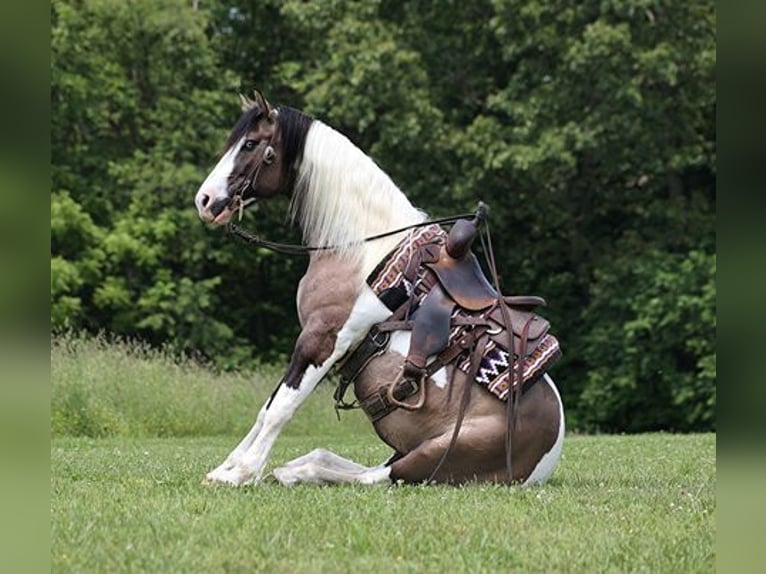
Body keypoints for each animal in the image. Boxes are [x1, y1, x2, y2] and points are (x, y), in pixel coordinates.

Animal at [194, 92, 564, 488]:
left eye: (250, 144)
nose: (205, 200)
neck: (359, 249)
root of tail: (548, 456)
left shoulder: (323, 337)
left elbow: (281, 407)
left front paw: (240, 473)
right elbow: (268, 407)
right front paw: (228, 467)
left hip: (428, 459)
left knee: (372, 477)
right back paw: (294, 469)